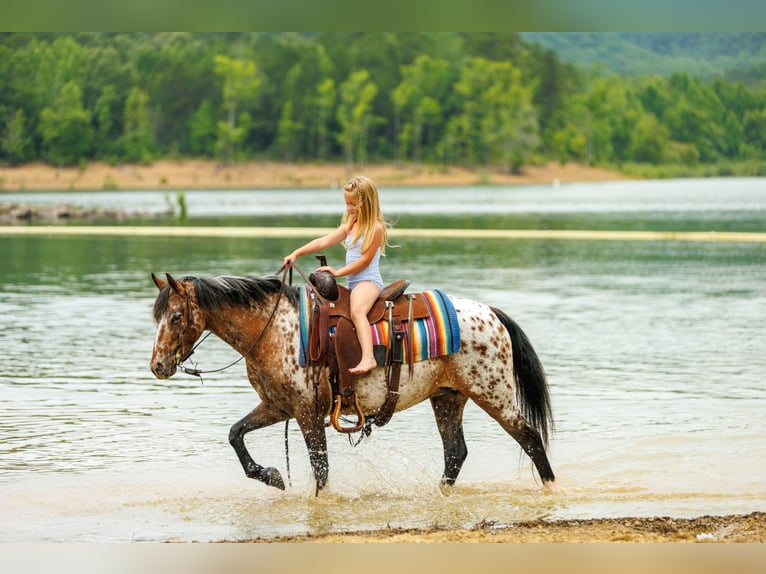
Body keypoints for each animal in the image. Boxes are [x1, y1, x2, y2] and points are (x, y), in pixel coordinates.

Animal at [149, 272, 557, 494]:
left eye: (175, 317)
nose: (158, 365)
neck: (274, 329)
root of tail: (491, 313)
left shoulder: (307, 414)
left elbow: (321, 468)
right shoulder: (278, 407)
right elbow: (236, 434)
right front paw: (273, 477)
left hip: (493, 393)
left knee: (529, 438)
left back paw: (552, 487)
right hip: (448, 397)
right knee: (455, 453)